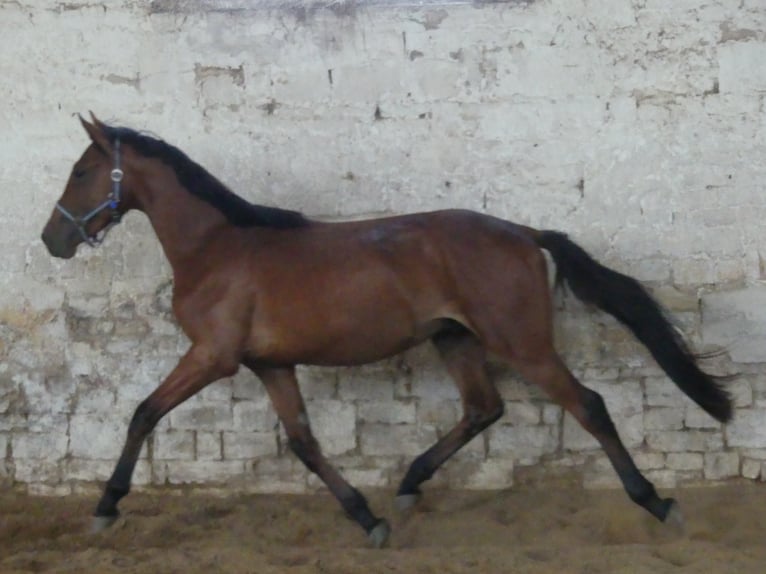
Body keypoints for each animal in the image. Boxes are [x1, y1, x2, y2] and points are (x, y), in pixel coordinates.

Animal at [41, 113, 731, 548]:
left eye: (80, 171)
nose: (53, 240)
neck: (218, 249)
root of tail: (525, 234)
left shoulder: (213, 356)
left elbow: (141, 413)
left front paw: (105, 507)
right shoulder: (270, 364)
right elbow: (304, 442)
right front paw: (366, 519)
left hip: (523, 345)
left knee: (588, 405)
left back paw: (658, 503)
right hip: (454, 338)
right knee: (484, 408)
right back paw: (406, 485)